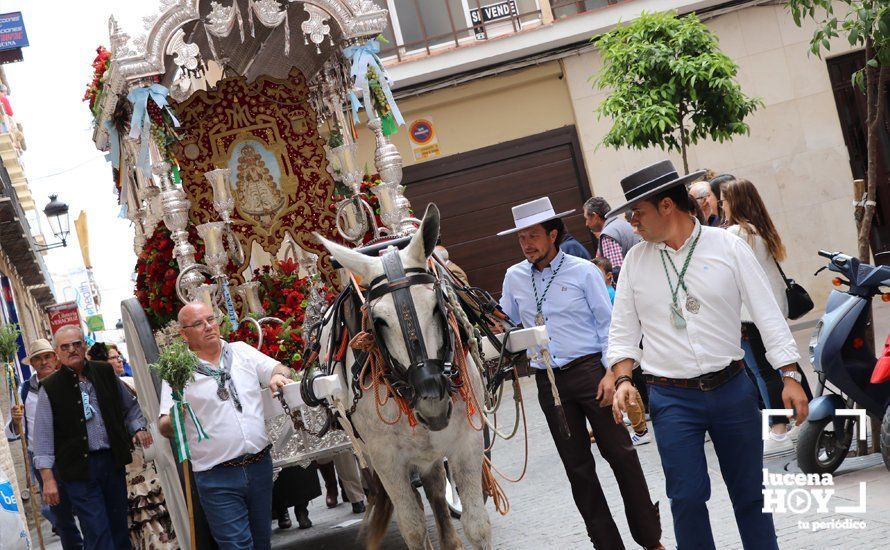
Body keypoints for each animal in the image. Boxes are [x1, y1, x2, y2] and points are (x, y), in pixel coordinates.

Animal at [316, 206, 490, 550]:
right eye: (379, 321)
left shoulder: (469, 441)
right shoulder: (387, 460)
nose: (431, 396)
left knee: (435, 485)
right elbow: (413, 529)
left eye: (437, 306)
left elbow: (477, 526)